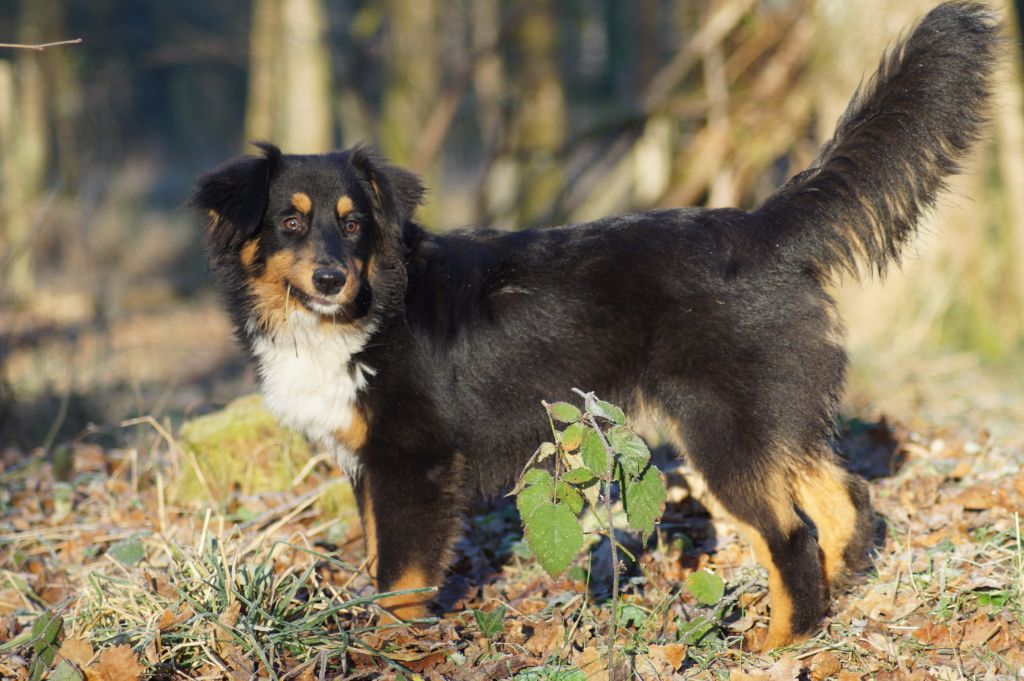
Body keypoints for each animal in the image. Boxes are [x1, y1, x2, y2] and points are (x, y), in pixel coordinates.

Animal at [192, 1, 999, 647]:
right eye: (291, 222)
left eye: (354, 224)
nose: (332, 278)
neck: (367, 310)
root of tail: (761, 226)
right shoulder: (367, 465)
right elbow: (375, 558)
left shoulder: (410, 464)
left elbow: (400, 579)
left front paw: (386, 651)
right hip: (773, 412)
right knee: (844, 499)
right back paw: (833, 604)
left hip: (721, 428)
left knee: (789, 533)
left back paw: (780, 644)